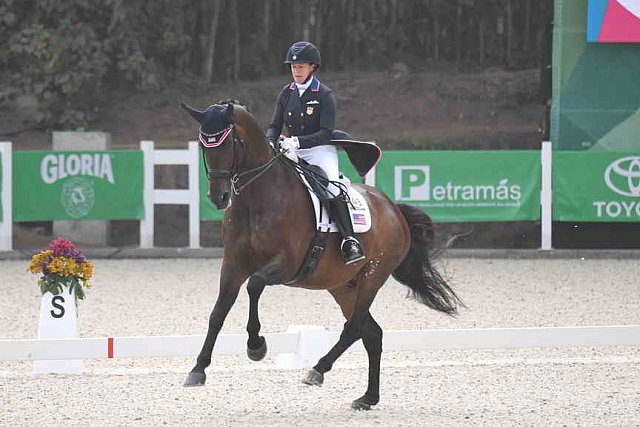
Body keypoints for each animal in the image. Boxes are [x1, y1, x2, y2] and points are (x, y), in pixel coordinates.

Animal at [180, 100, 464, 412]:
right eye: (204, 145)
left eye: (230, 142)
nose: (218, 197)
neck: (259, 198)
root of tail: (394, 209)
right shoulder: (233, 264)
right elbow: (218, 313)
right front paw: (198, 370)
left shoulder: (286, 264)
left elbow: (254, 285)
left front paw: (256, 346)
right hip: (342, 286)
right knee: (372, 334)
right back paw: (367, 398)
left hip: (373, 275)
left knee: (354, 327)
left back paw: (317, 370)